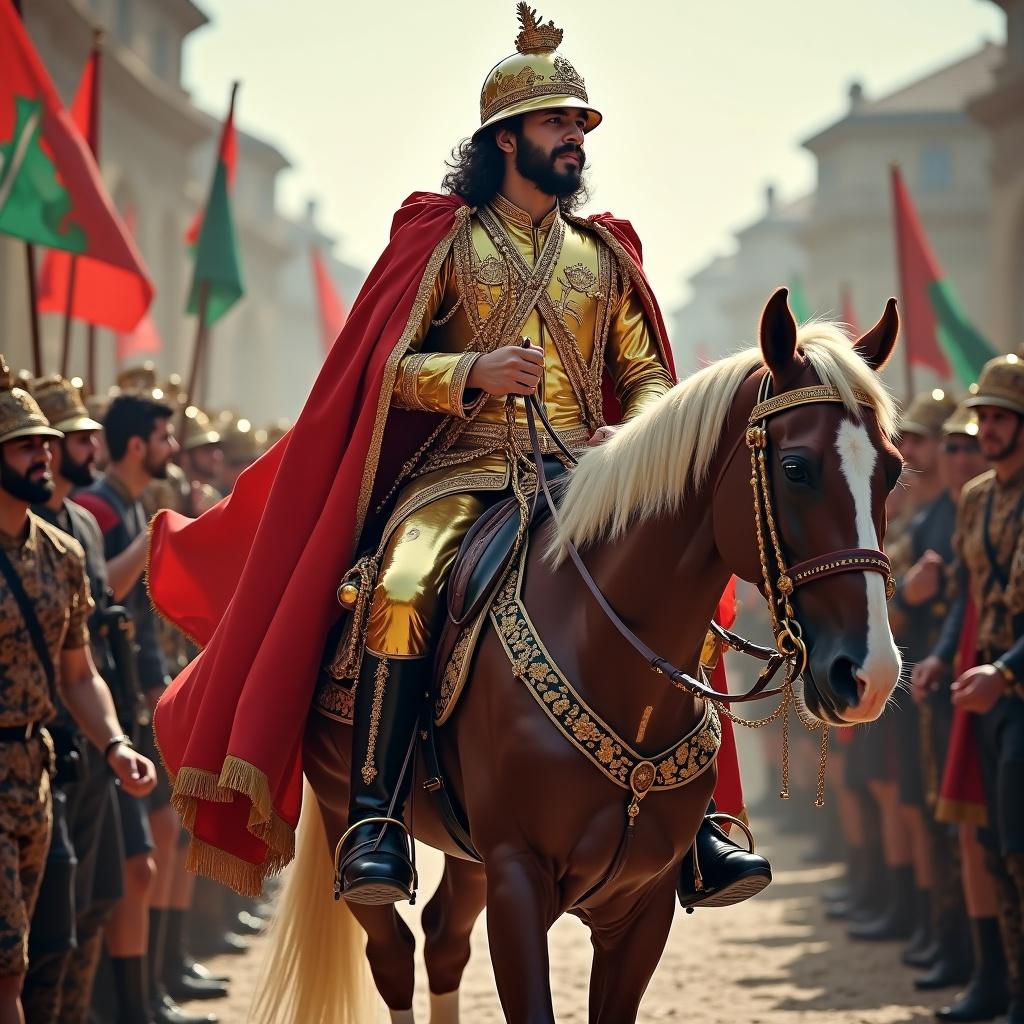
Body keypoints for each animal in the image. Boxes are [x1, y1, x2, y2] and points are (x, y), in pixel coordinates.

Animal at [251, 290, 901, 1024]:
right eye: (796, 468)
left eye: (893, 469)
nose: (870, 674)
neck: (606, 650)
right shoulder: (517, 878)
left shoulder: (641, 901)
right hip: (343, 803)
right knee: (390, 949)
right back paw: (374, 857)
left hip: (466, 851)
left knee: (444, 939)